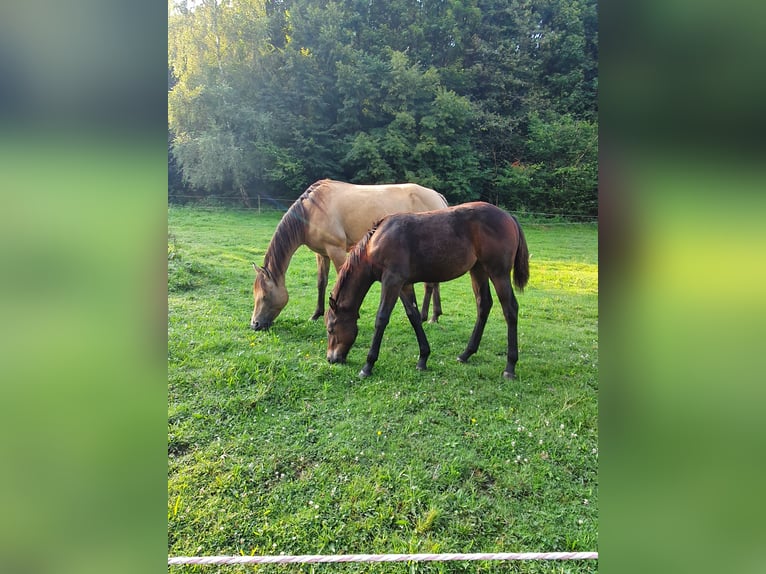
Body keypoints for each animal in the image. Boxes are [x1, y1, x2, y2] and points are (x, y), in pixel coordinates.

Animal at [250, 180, 450, 332]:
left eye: (265, 296)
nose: (255, 324)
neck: (312, 210)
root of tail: (437, 196)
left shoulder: (336, 250)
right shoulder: (322, 254)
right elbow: (321, 283)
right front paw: (316, 314)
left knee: (430, 284)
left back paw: (427, 316)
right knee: (434, 283)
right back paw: (434, 315)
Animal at [328, 204, 532, 382]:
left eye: (330, 328)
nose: (331, 359)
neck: (376, 242)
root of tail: (509, 217)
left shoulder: (392, 281)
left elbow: (382, 318)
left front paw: (368, 365)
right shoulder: (403, 285)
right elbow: (414, 316)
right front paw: (423, 358)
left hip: (498, 273)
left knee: (510, 309)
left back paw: (510, 367)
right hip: (478, 270)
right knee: (484, 304)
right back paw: (466, 354)